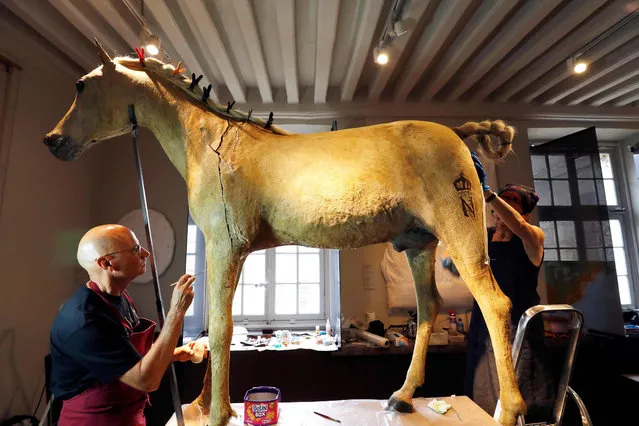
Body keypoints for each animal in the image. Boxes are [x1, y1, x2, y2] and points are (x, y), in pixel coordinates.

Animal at [43, 44, 524, 426]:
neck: (215, 141)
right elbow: (220, 325)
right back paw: (401, 397)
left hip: (460, 236)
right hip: (419, 244)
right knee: (429, 308)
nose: (52, 140)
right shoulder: (230, 252)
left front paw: (216, 414)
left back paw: (509, 410)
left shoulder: (225, 247)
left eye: (82, 85)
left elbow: (221, 327)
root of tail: (458, 133)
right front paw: (205, 405)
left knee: (496, 304)